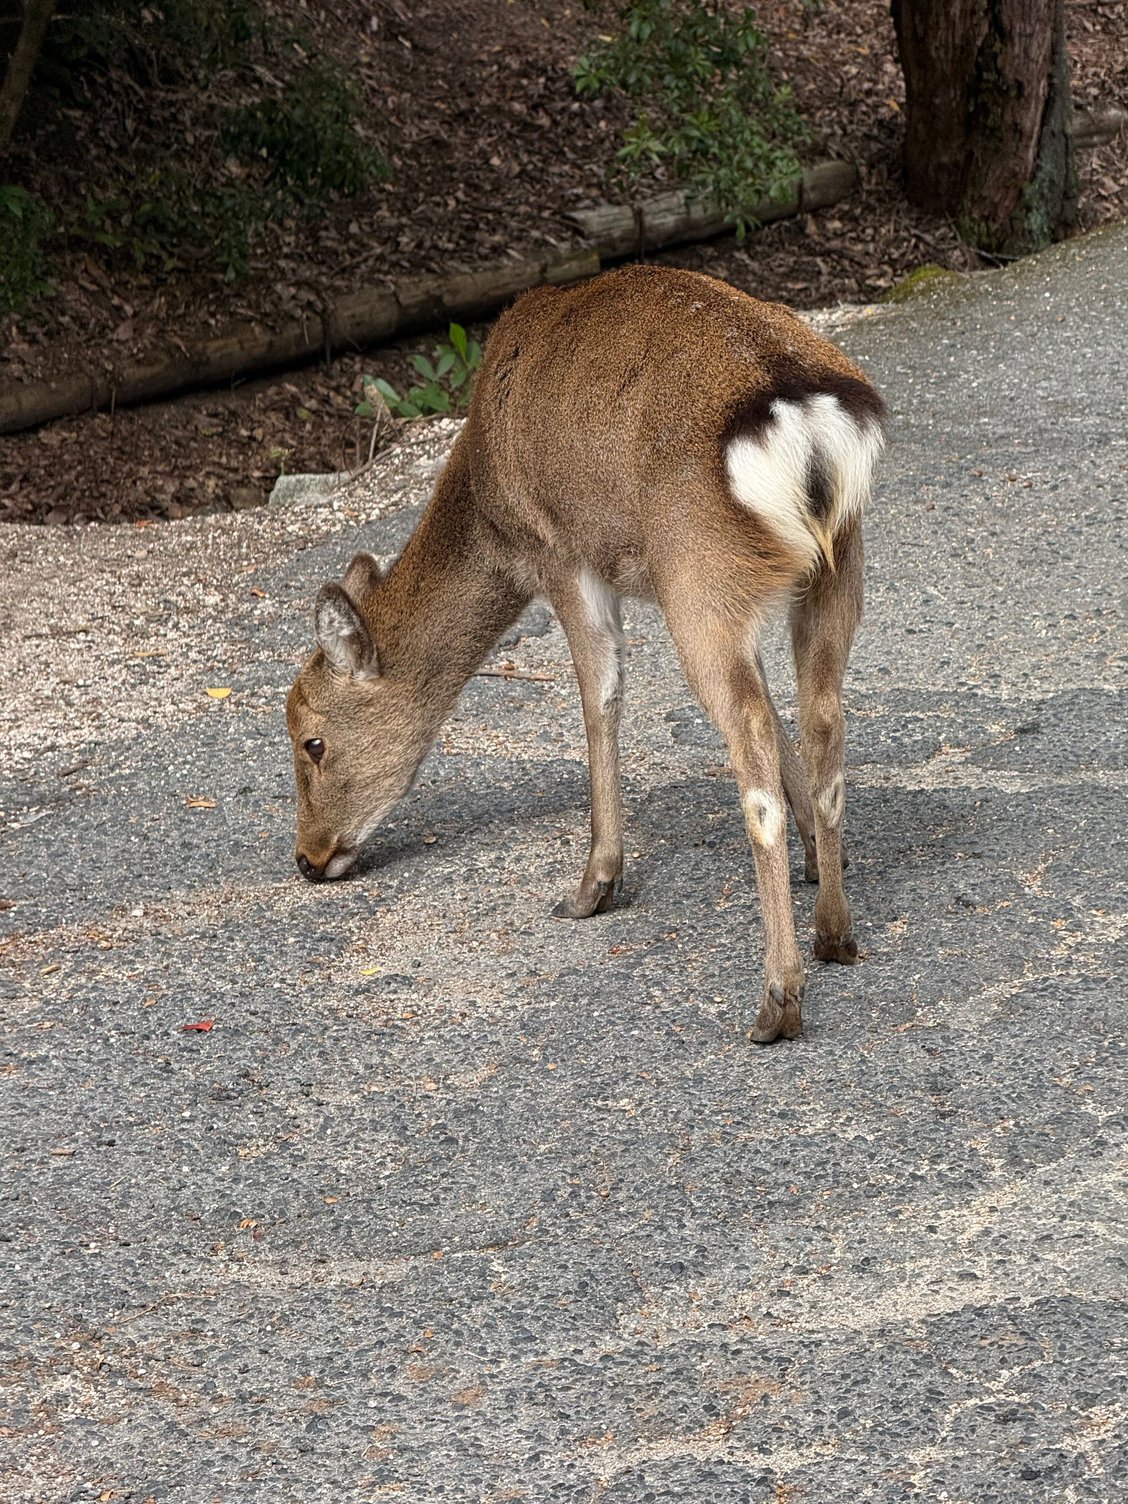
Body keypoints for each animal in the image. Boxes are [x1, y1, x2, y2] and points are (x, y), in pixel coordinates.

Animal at [286, 263, 886, 1043]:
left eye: (312, 740)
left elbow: (599, 701)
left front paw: (592, 885)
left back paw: (777, 999)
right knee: (820, 716)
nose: (308, 856)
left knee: (752, 745)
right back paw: (834, 934)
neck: (489, 506)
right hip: (830, 562)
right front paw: (815, 857)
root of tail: (806, 423)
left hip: (700, 571)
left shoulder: (562, 554)